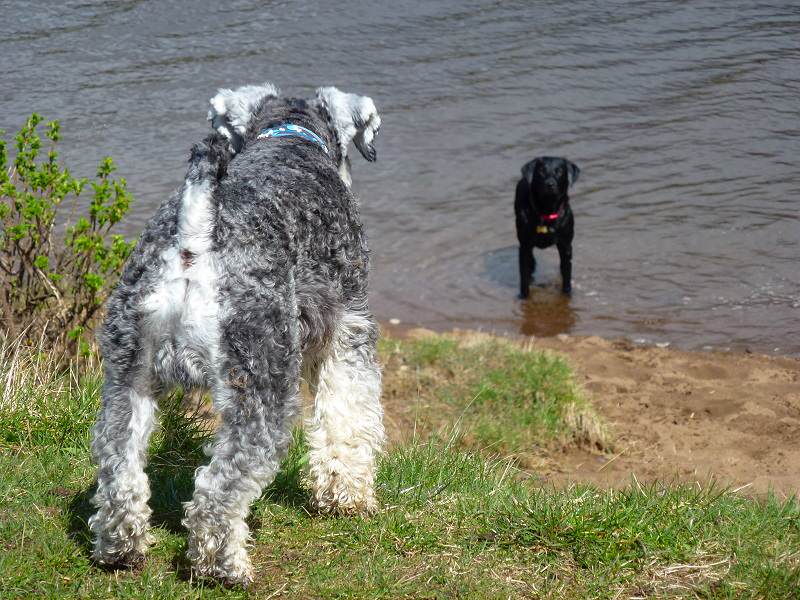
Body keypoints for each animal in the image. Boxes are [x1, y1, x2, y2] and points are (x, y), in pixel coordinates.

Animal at [87, 82, 384, 584]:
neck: (293, 135)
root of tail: (194, 238)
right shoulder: (348, 329)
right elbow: (346, 416)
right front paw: (347, 496)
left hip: (128, 377)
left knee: (119, 468)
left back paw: (121, 548)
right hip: (263, 385)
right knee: (216, 489)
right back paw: (224, 565)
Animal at [512, 156, 580, 298]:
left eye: (559, 171)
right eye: (541, 171)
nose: (550, 184)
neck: (547, 212)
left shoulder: (566, 245)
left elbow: (567, 274)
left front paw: (567, 294)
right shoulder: (524, 246)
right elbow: (523, 277)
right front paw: (524, 297)